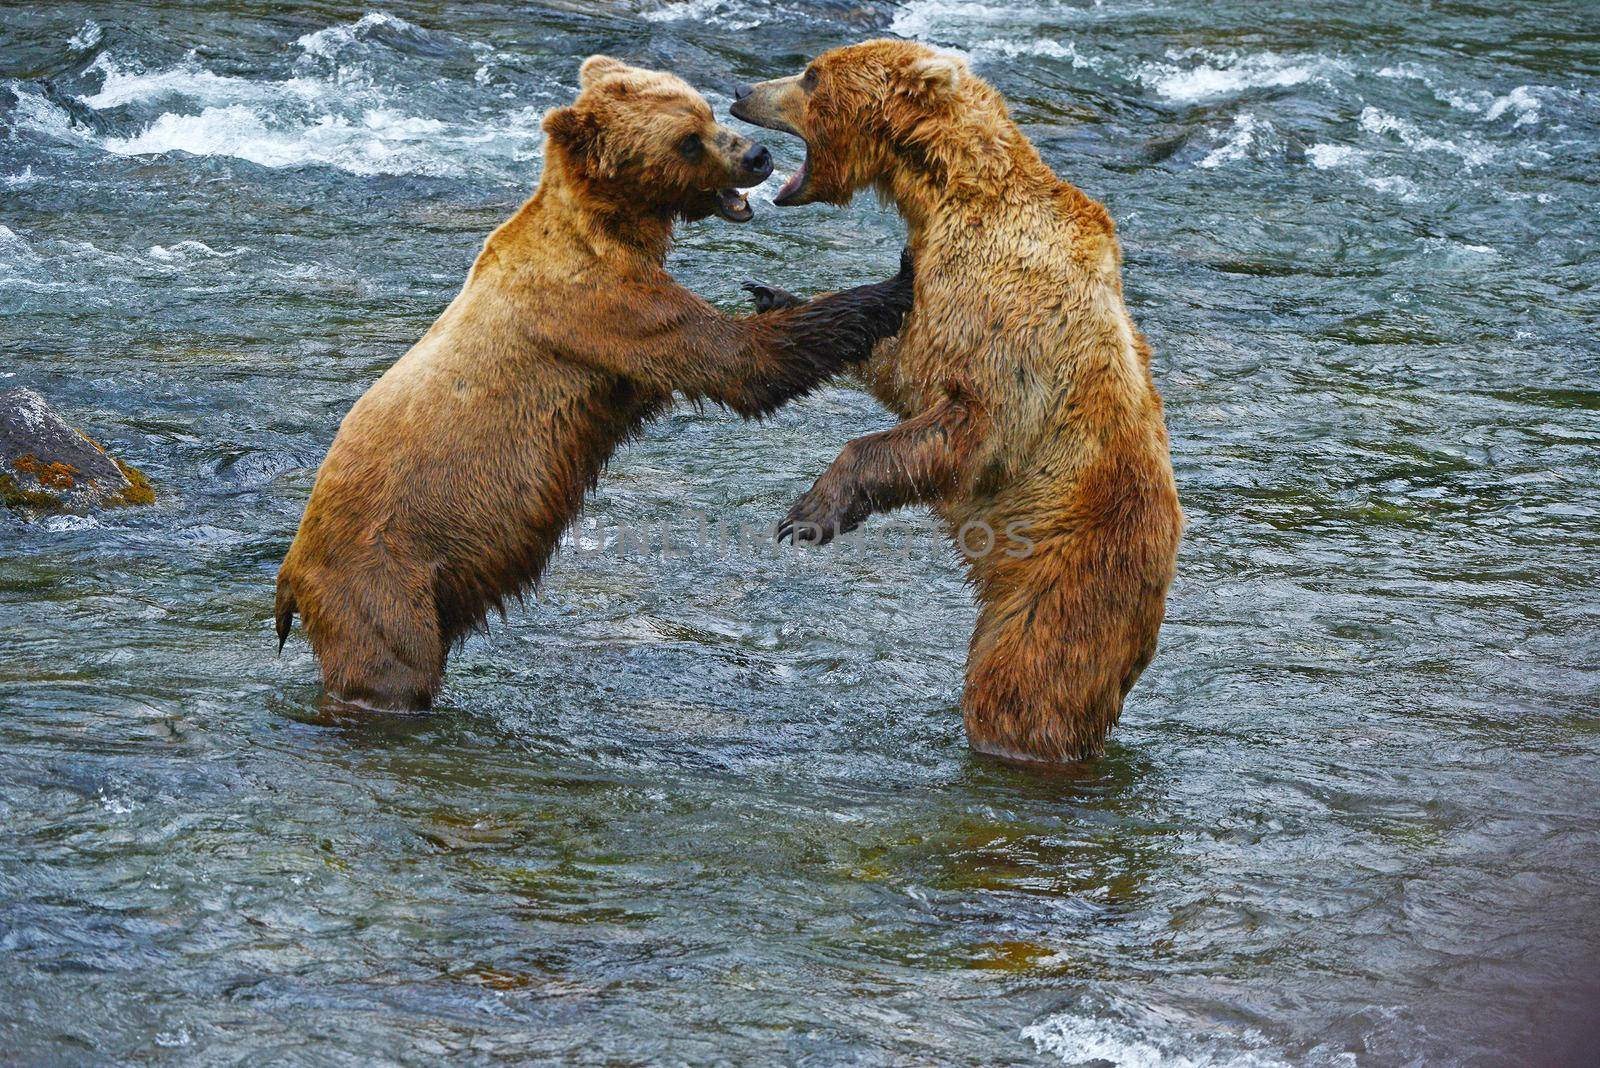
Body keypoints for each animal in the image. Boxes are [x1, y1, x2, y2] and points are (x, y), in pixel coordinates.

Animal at [275, 56, 915, 709]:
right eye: (689, 138)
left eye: (706, 110)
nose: (757, 155)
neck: (611, 227)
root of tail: (289, 575)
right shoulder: (603, 309)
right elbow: (738, 361)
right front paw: (898, 279)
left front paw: (776, 292)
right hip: (382, 577)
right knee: (391, 666)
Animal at [732, 39, 1184, 757]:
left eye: (810, 75)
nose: (741, 91)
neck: (940, 192)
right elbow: (905, 362)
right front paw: (781, 299)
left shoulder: (1004, 316)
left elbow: (962, 423)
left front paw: (808, 514)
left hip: (1067, 577)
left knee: (1024, 682)